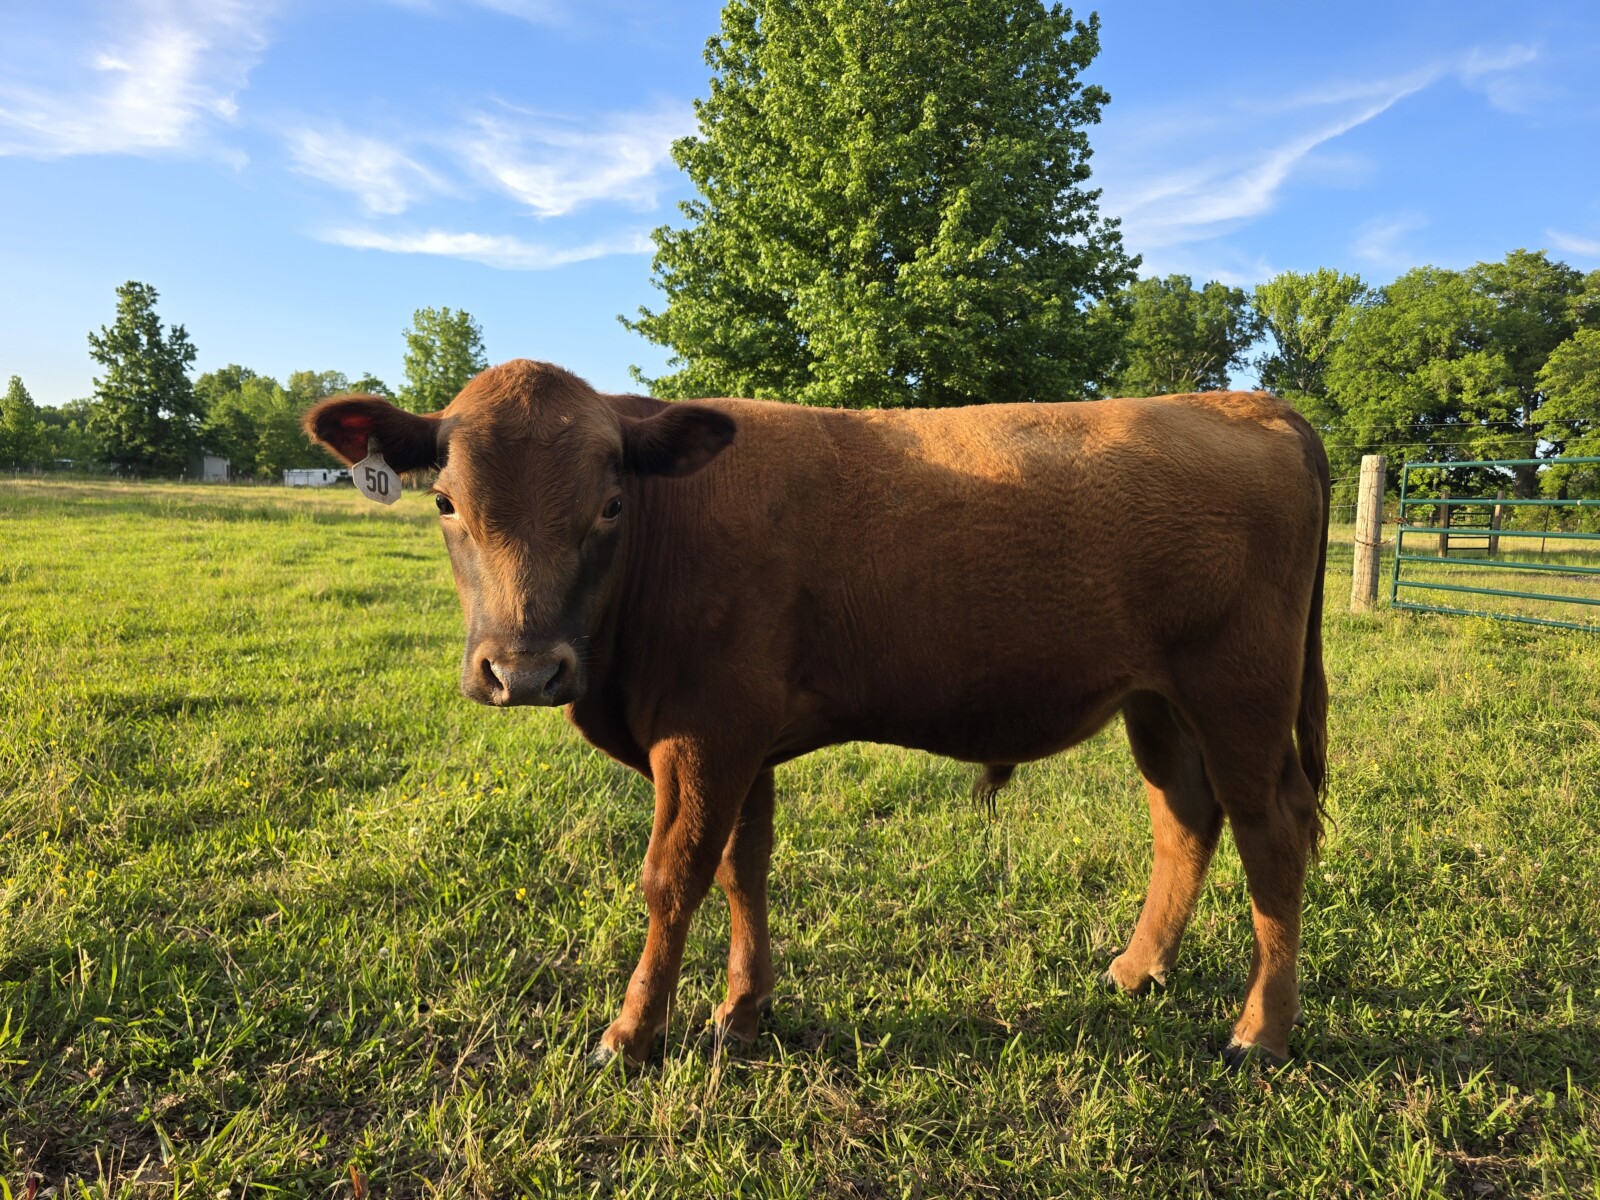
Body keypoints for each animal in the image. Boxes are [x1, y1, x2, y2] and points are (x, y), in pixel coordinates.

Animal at [305, 359, 1330, 1068]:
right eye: (445, 502)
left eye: (610, 504)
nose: (522, 669)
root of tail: (1239, 402)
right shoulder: (741, 740)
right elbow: (740, 869)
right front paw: (741, 1013)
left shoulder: (707, 730)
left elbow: (672, 876)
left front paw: (633, 1036)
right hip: (1157, 703)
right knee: (1184, 821)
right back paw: (1135, 970)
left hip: (1239, 694)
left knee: (1271, 835)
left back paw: (1260, 1032)